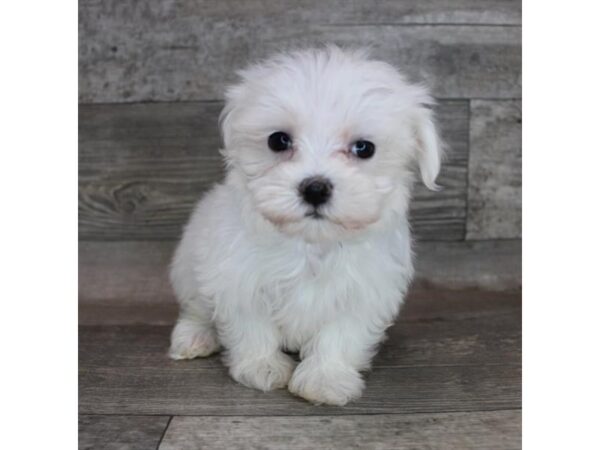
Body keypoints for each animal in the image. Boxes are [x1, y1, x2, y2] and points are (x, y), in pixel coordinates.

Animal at [169, 45, 440, 404]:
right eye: (278, 141)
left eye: (364, 148)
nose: (315, 188)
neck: (312, 243)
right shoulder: (238, 278)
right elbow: (252, 325)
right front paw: (262, 366)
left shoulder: (365, 289)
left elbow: (341, 334)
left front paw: (326, 378)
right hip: (191, 266)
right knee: (196, 307)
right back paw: (194, 337)